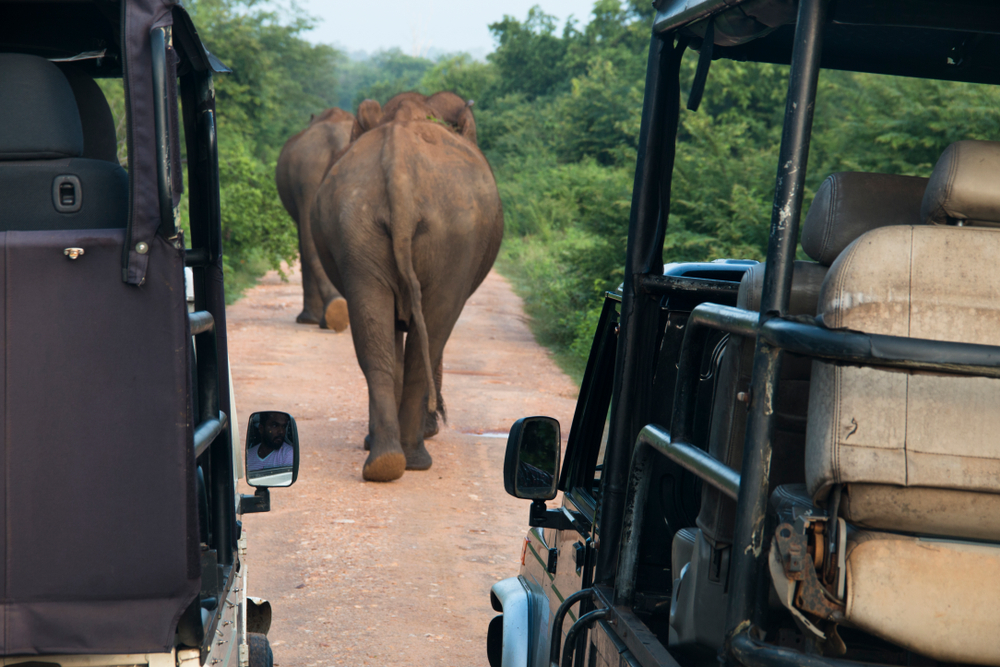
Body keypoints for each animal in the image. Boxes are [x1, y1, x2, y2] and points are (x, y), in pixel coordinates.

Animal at [310, 92, 504, 480]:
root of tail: (398, 169)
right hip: (454, 239)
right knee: (431, 333)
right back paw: (413, 457)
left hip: (359, 226)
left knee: (377, 340)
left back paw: (385, 461)